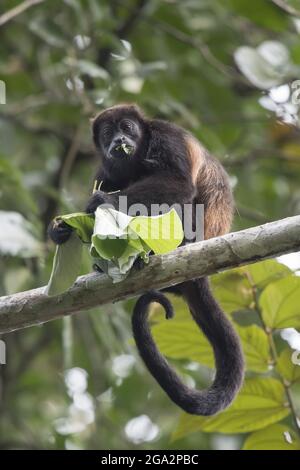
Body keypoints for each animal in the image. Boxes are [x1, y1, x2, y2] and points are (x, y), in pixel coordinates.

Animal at [49, 103, 245, 414]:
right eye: (108, 132)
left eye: (127, 127)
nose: (119, 140)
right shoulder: (105, 169)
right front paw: (60, 229)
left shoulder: (168, 137)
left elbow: (177, 182)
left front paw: (104, 203)